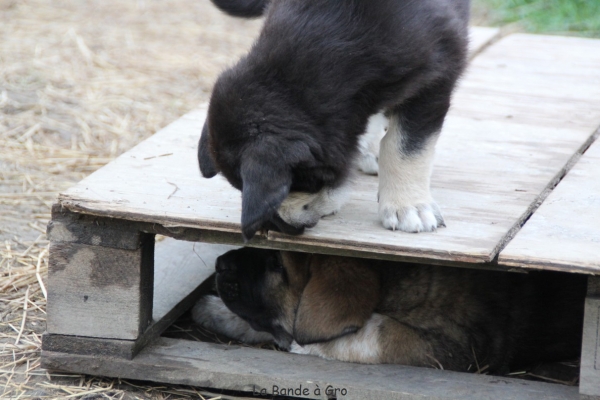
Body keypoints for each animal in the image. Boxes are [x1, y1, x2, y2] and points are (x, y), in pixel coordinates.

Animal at [193, 248, 584, 374]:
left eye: (277, 263)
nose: (220, 263)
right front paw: (214, 310)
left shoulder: (457, 348)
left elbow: (378, 331)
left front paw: (308, 347)